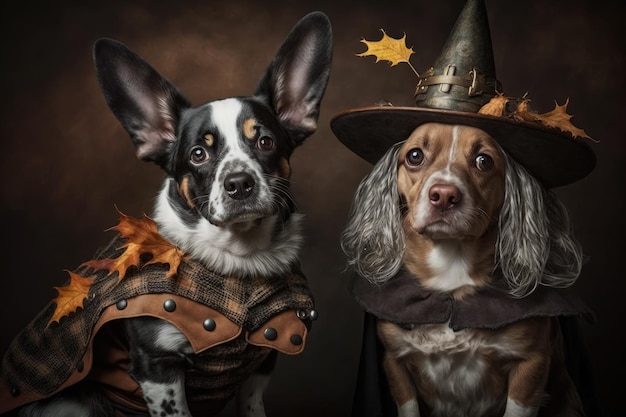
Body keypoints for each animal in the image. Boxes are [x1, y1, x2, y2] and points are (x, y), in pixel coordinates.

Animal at [17, 8, 332, 416]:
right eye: (198, 153)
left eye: (265, 141)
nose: (239, 183)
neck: (239, 266)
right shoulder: (158, 368)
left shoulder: (264, 358)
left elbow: (251, 405)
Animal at [342, 122, 584, 416]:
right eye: (414, 156)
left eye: (484, 161)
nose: (444, 196)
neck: (451, 274)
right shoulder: (395, 363)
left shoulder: (532, 367)